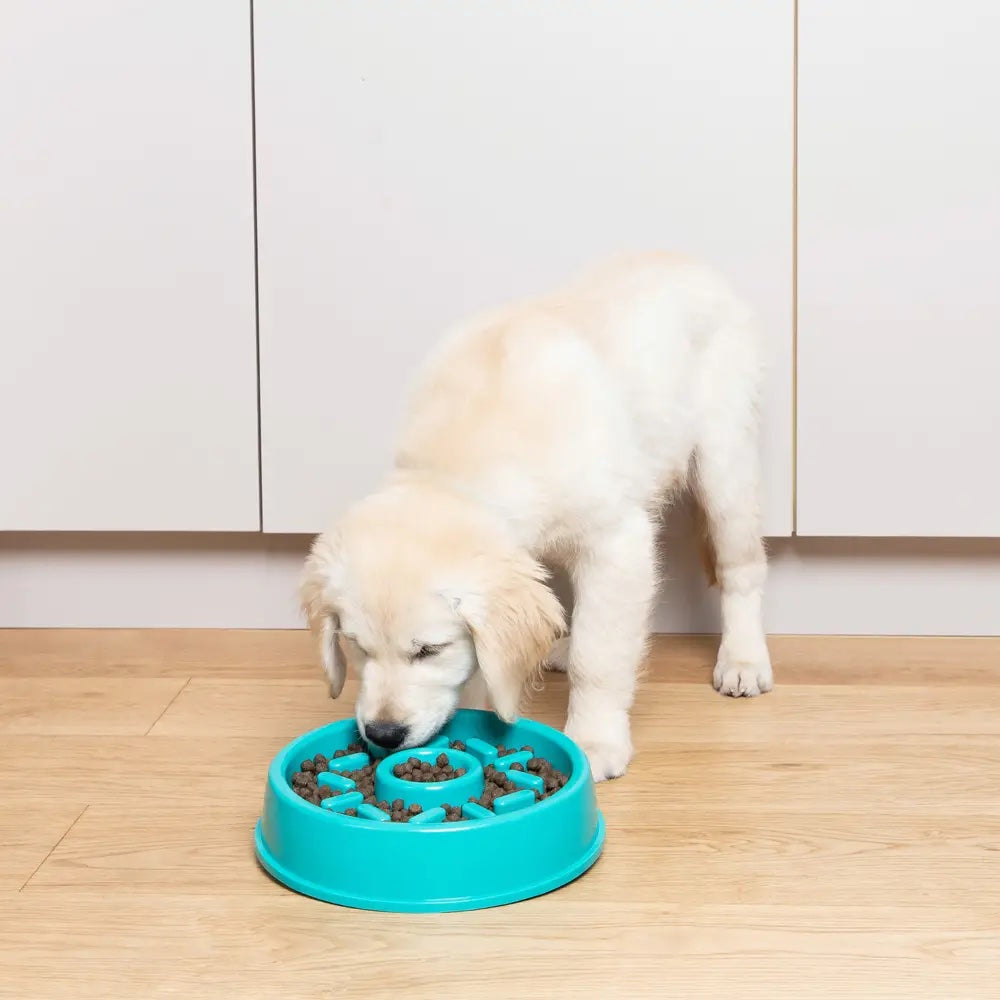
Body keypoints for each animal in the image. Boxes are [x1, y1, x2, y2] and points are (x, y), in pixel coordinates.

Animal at [302, 252, 772, 780]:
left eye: (429, 650)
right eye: (357, 646)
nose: (383, 734)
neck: (459, 465)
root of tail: (681, 258)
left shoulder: (617, 544)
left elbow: (599, 654)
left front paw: (595, 738)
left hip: (723, 464)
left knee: (741, 569)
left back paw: (744, 660)